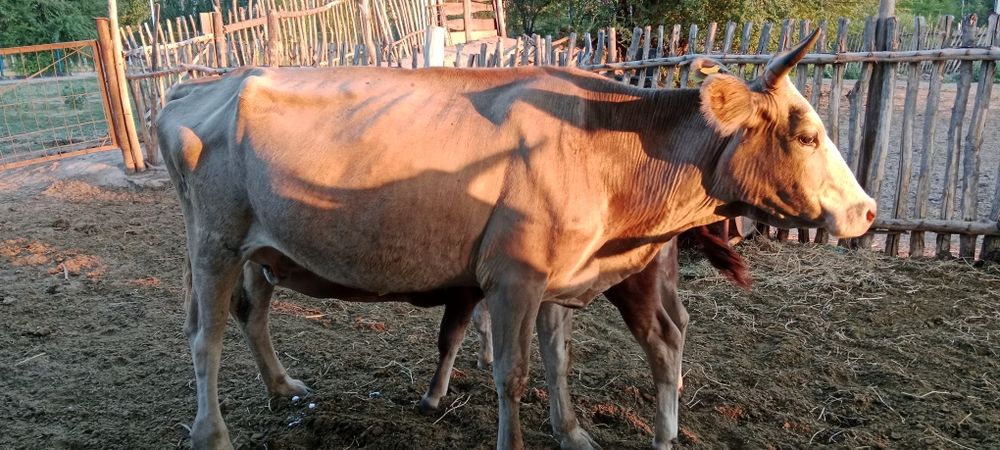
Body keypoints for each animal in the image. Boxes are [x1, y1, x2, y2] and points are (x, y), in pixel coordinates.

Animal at [158, 29, 875, 450]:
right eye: (806, 133)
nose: (867, 211)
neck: (606, 142)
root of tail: (203, 83)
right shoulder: (513, 278)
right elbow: (513, 372)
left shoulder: (560, 274)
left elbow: (555, 359)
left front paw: (573, 431)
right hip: (214, 242)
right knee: (205, 335)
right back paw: (210, 432)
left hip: (258, 250)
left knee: (250, 314)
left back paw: (283, 389)